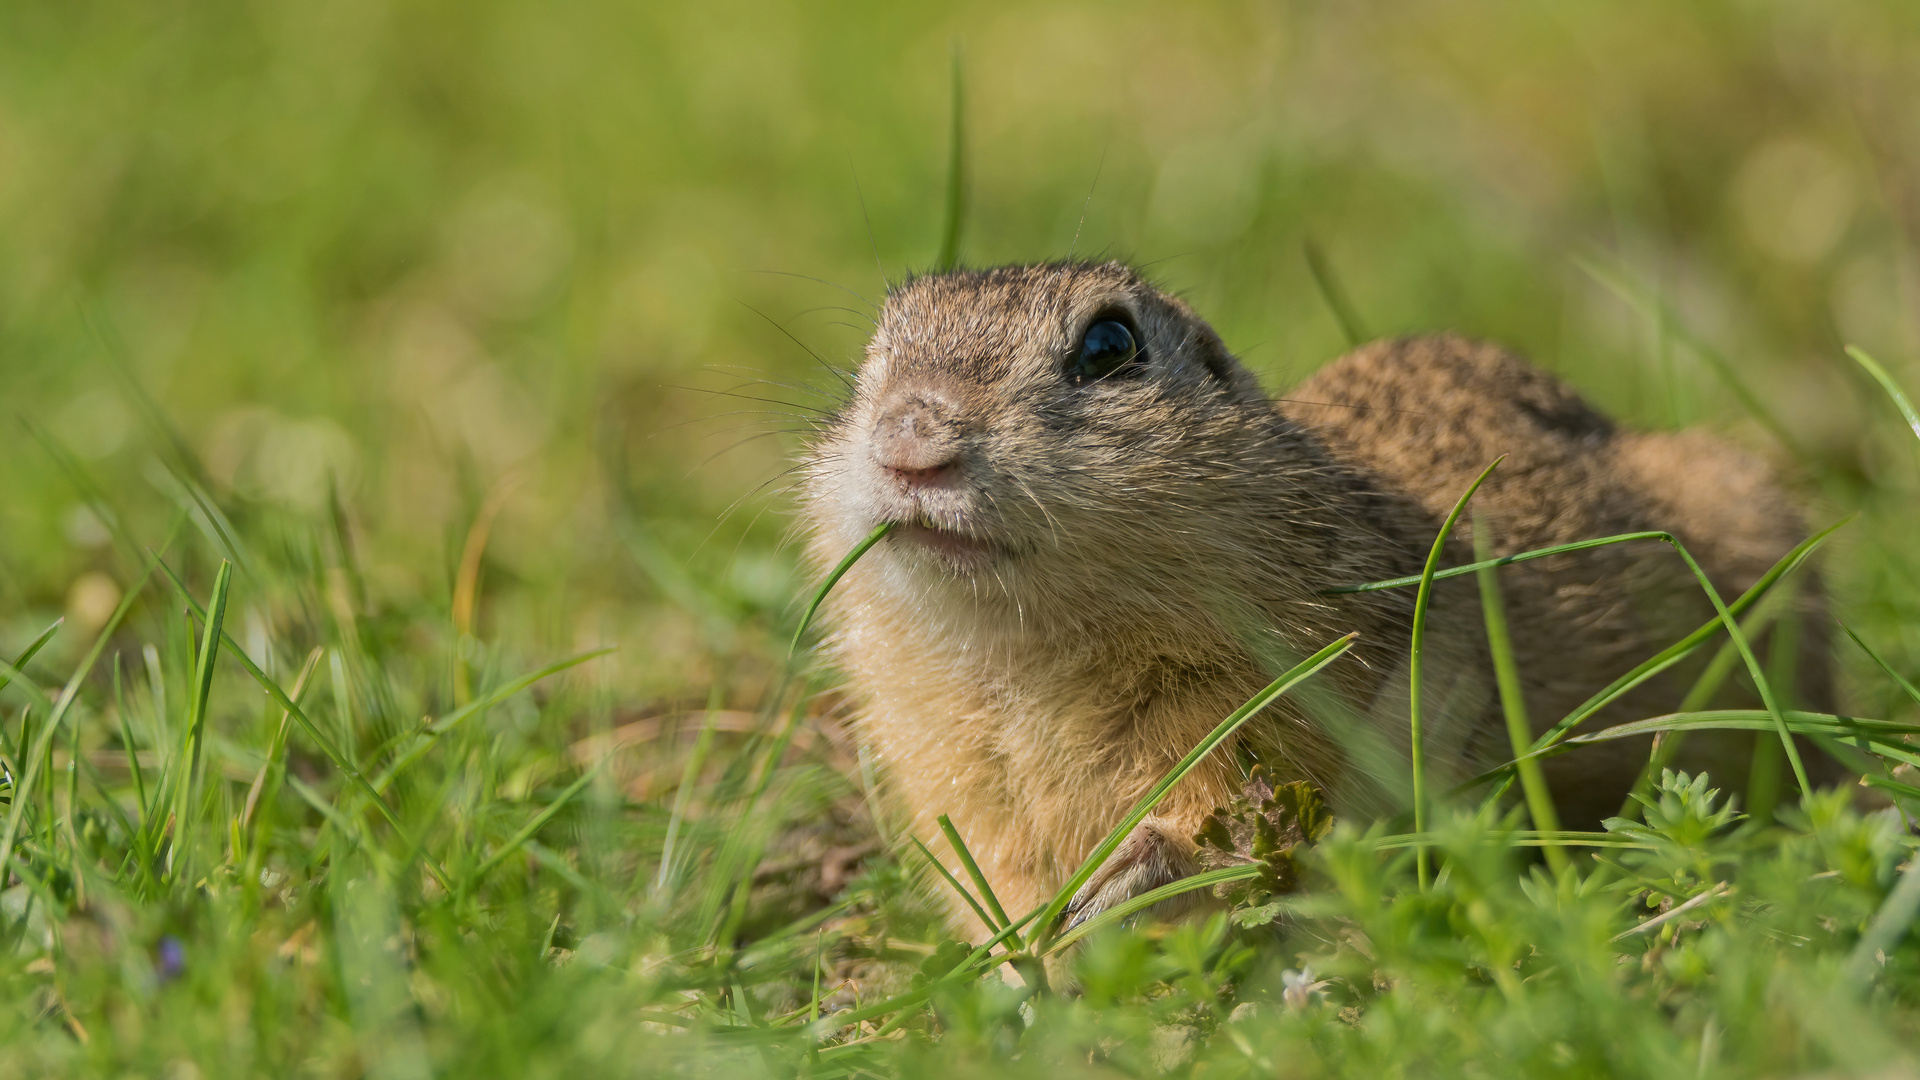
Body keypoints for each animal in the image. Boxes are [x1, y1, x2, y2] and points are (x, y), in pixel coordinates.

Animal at [798, 261, 1827, 933]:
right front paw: (1031, 961)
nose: (909, 441)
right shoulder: (951, 773)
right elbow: (994, 876)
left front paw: (1125, 878)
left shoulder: (1291, 702)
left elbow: (1239, 816)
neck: (1021, 654)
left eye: (1109, 345)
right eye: (876, 350)